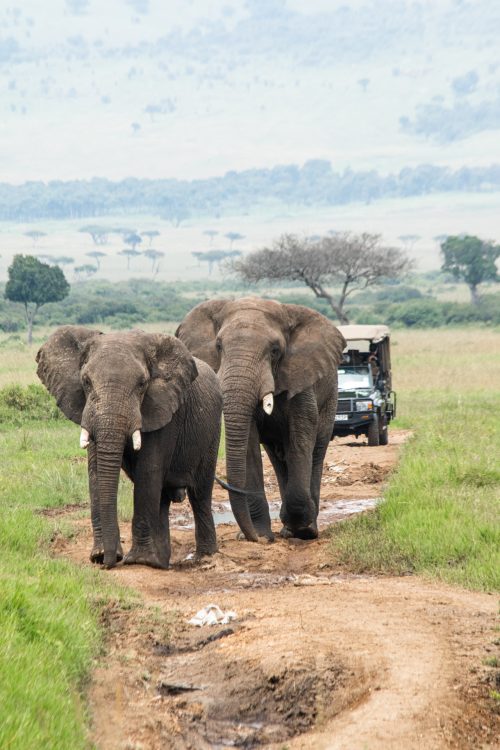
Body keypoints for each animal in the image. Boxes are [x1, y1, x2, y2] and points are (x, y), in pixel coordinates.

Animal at [36, 326, 221, 568]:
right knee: (163, 497)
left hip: (212, 432)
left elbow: (148, 472)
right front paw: (100, 556)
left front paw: (139, 561)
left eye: (142, 384)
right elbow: (96, 471)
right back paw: (162, 561)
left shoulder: (163, 408)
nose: (110, 562)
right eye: (86, 381)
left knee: (200, 494)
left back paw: (204, 556)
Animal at [178, 296, 346, 544]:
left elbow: (301, 435)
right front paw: (262, 536)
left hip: (331, 398)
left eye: (275, 351)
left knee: (315, 451)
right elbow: (248, 442)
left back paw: (304, 528)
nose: (253, 538)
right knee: (278, 458)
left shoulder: (300, 377)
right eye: (219, 346)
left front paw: (302, 531)